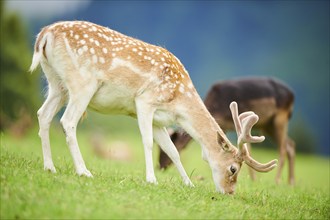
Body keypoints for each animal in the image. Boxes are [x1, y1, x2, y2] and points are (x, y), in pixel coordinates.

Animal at [29, 20, 276, 192]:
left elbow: (172, 150)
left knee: (43, 114)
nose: (229, 192)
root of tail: (44, 35)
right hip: (82, 83)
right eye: (233, 168)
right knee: (67, 121)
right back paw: (83, 171)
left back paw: (49, 167)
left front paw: (188, 183)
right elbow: (147, 142)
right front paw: (151, 179)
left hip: (57, 84)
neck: (178, 102)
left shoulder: (159, 120)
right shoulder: (144, 102)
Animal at [159, 77, 296, 186]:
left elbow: (248, 149)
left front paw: (253, 179)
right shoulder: (224, 126)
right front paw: (253, 179)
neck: (217, 108)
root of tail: (292, 95)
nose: (160, 166)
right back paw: (291, 181)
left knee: (283, 147)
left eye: (174, 145)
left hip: (280, 119)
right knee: (290, 144)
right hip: (268, 125)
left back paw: (278, 180)